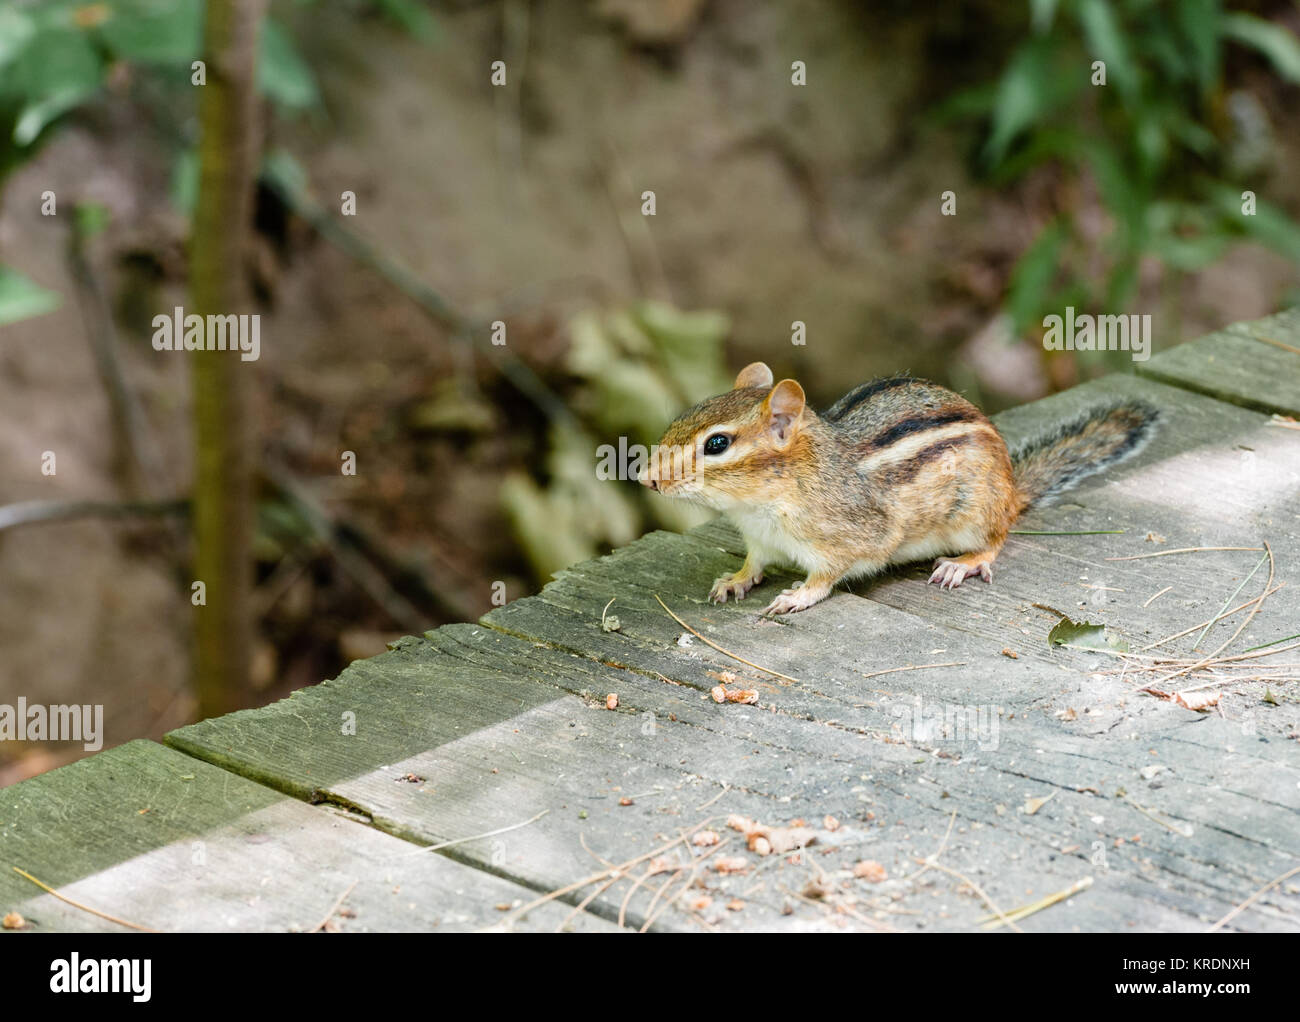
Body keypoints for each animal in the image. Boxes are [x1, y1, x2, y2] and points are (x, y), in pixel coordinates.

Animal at [640, 362, 1159, 615]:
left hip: (977, 512)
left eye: (717, 444)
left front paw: (797, 596)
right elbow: (754, 563)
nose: (647, 478)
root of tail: (1013, 490)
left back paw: (963, 563)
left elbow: (828, 575)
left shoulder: (850, 538)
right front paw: (736, 579)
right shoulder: (760, 540)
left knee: (996, 541)